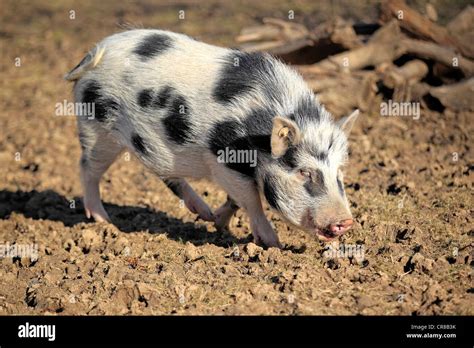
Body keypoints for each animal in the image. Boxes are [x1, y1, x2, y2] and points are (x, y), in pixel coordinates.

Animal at [64, 29, 360, 247]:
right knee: (86, 167)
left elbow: (236, 199)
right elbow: (251, 200)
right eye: (304, 173)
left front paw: (217, 223)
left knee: (165, 173)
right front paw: (273, 244)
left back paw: (203, 212)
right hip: (96, 127)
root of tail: (94, 53)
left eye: (339, 174)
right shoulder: (225, 158)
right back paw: (103, 221)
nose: (346, 221)